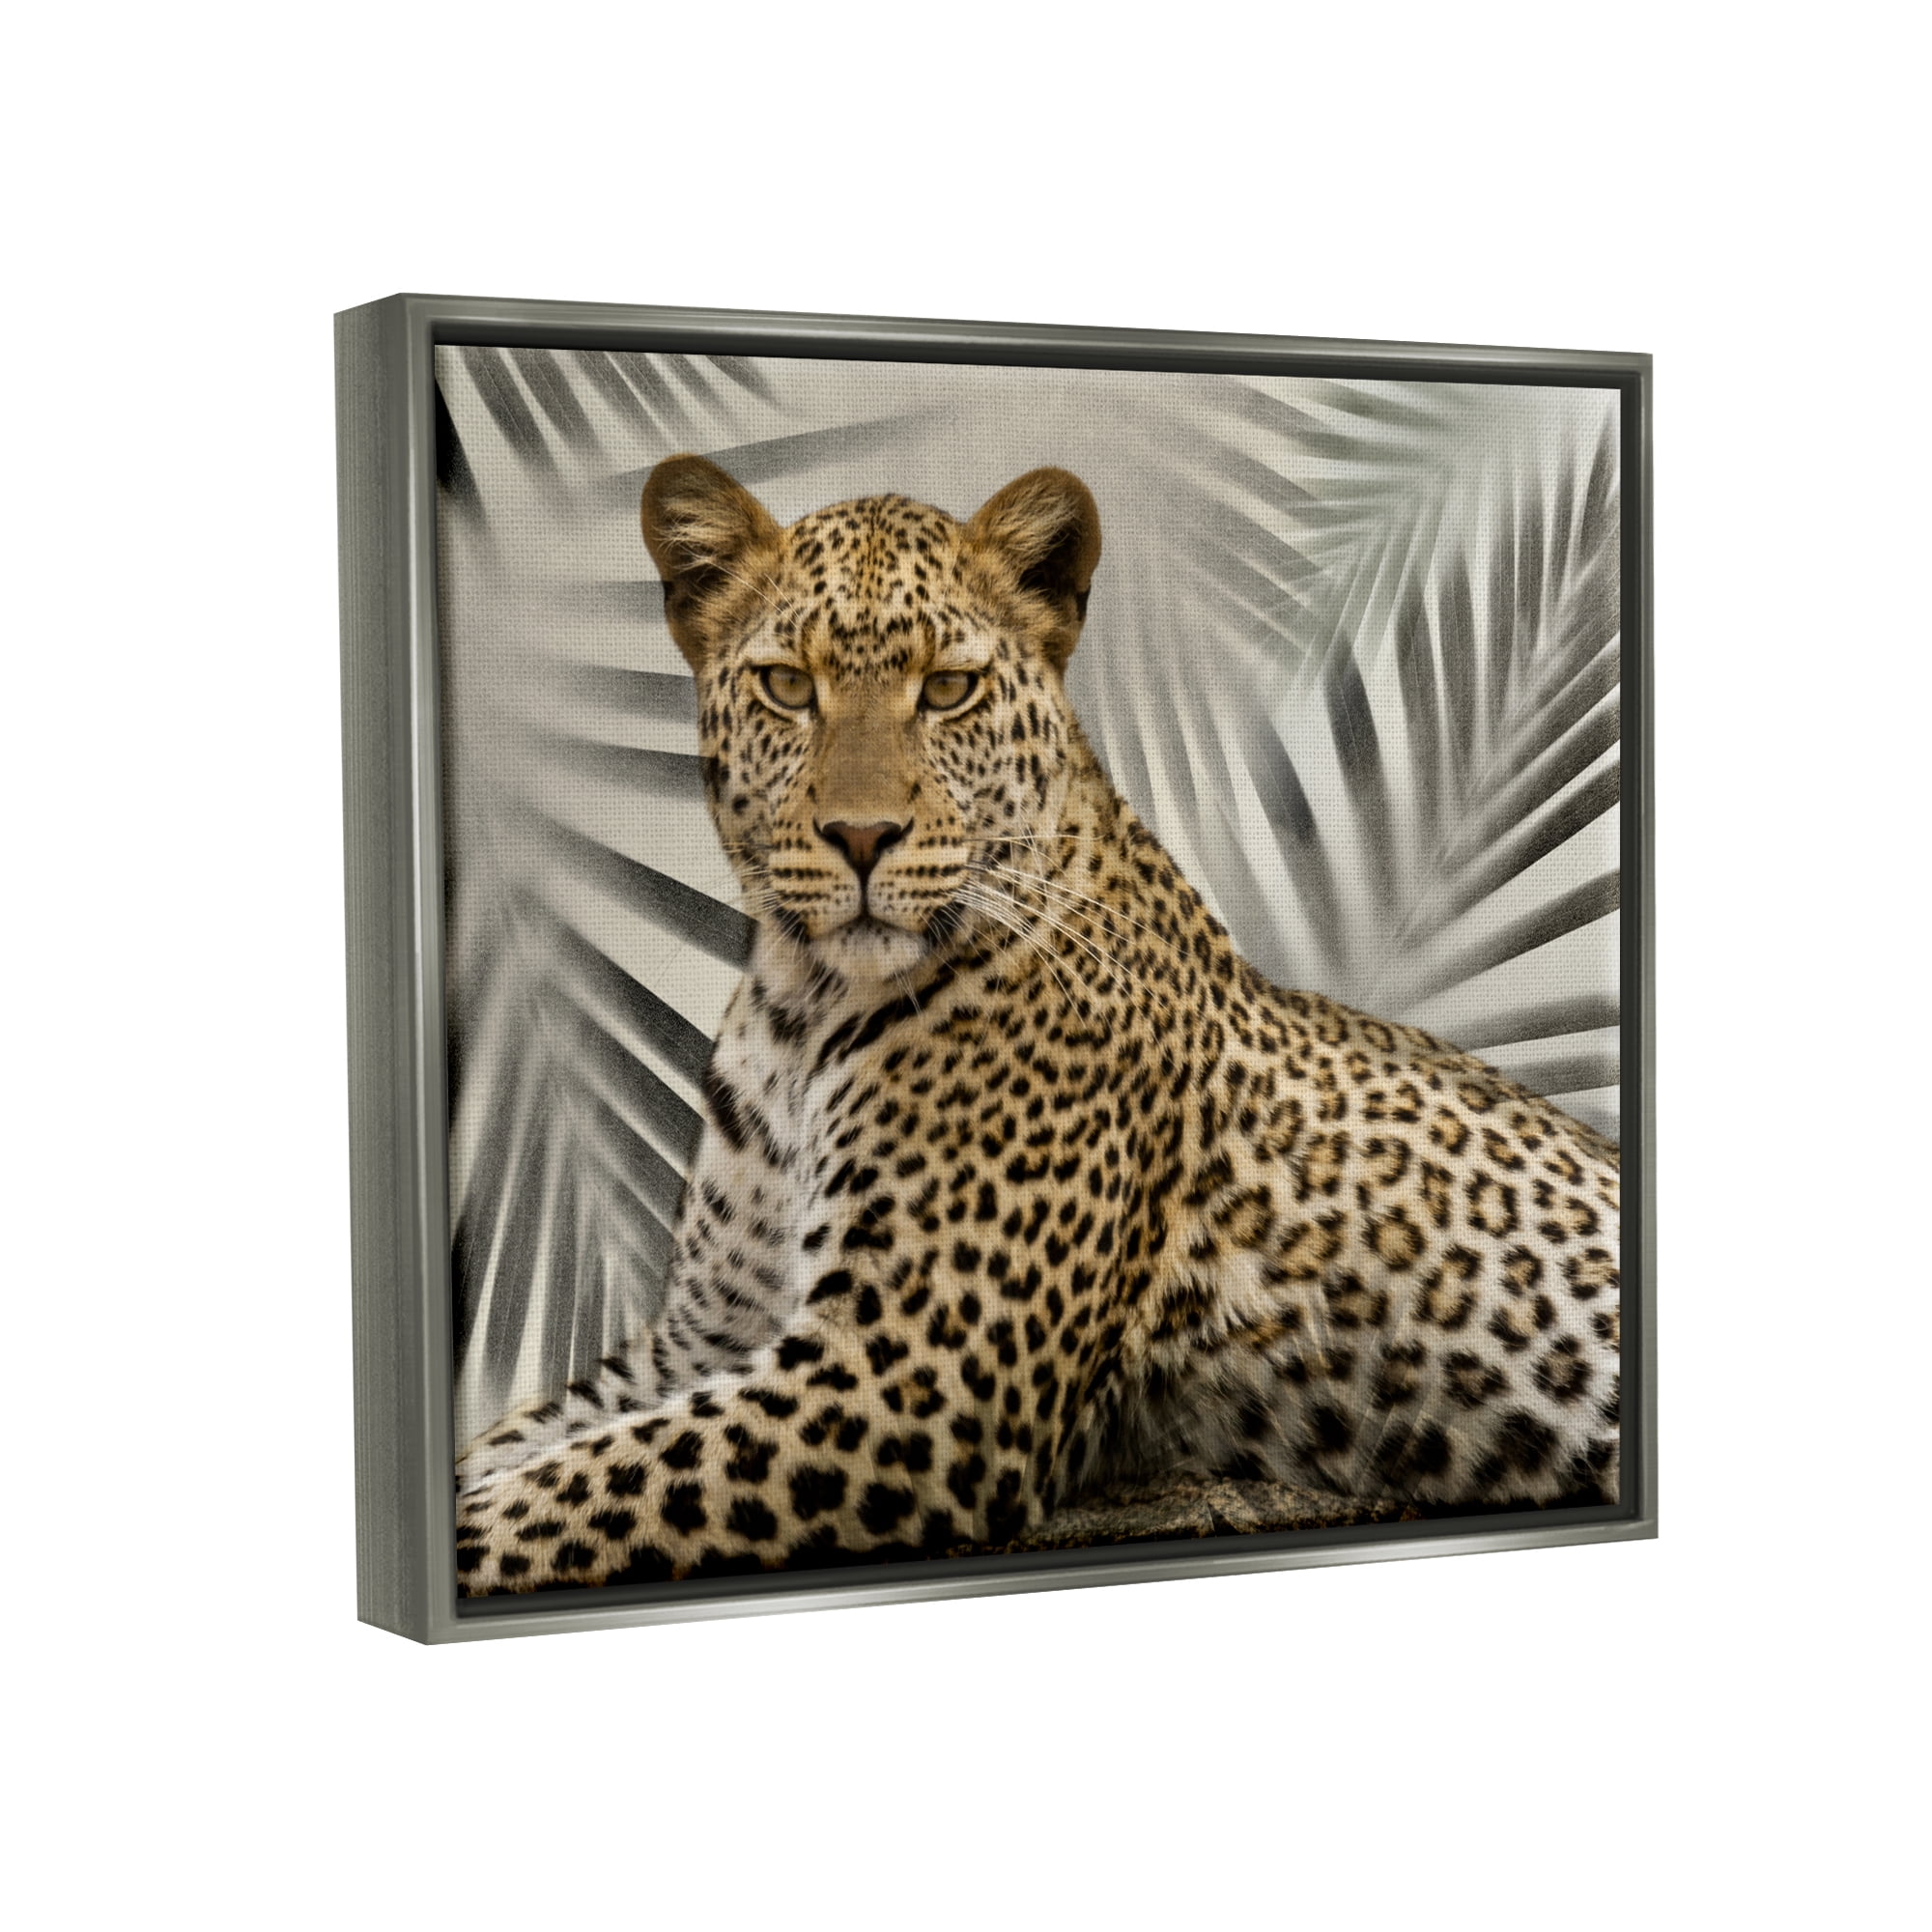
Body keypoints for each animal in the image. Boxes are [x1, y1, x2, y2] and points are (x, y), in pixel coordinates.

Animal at [452, 454, 1622, 1594]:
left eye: (948, 689)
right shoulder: (701, 1338)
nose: (861, 837)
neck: (799, 1008)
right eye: (788, 686)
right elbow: (524, 1444)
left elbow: (556, 1497)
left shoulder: (905, 1376)